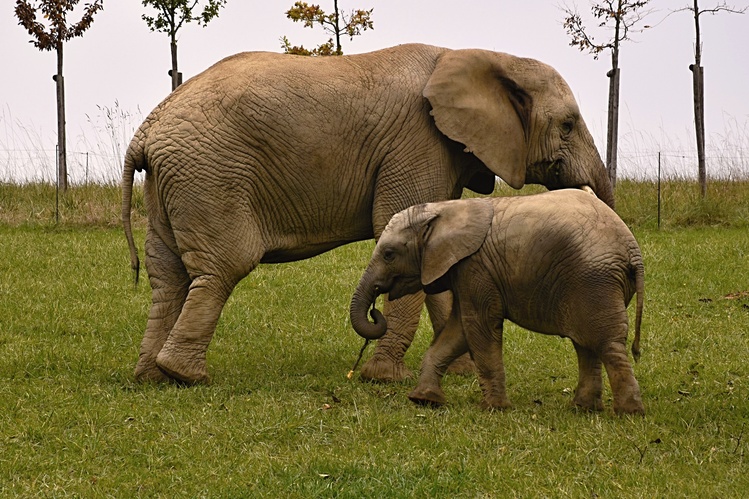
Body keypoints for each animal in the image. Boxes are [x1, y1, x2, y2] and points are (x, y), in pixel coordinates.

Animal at [124, 44, 612, 386]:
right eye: (568, 126)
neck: (489, 57)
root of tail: (146, 132)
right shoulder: (419, 142)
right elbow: (401, 230)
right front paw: (386, 379)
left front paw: (461, 372)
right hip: (210, 176)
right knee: (222, 268)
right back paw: (186, 375)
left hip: (173, 183)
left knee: (168, 276)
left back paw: (152, 377)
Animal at [350, 189, 644, 416]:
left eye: (389, 254)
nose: (375, 311)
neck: (445, 208)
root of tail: (633, 251)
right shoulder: (464, 271)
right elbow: (457, 332)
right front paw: (424, 400)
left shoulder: (475, 267)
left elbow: (478, 326)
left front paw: (494, 408)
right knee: (585, 344)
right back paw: (583, 409)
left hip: (594, 281)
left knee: (607, 344)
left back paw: (628, 413)